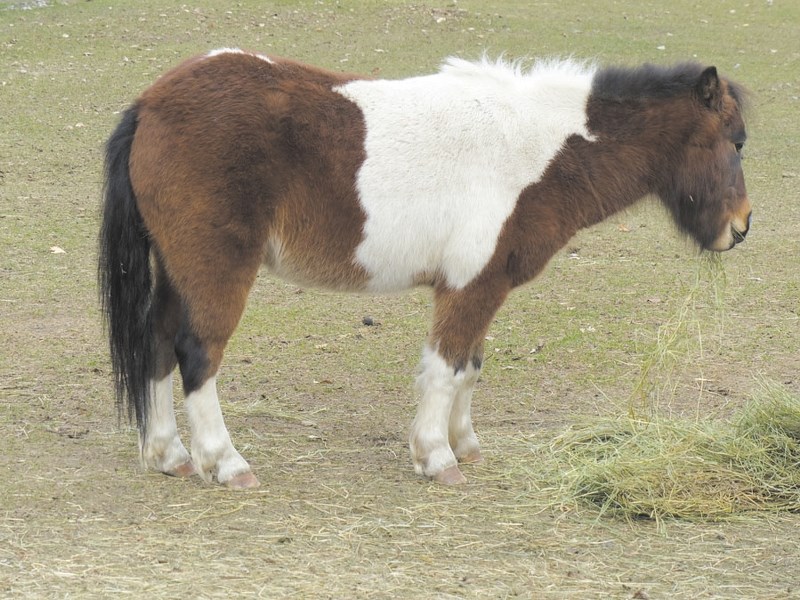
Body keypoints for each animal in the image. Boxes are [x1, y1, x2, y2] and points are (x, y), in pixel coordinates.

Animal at [98, 48, 752, 488]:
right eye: (737, 141)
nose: (741, 227)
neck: (533, 150)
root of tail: (150, 104)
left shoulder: (487, 285)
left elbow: (469, 368)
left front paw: (465, 445)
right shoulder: (468, 286)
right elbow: (444, 369)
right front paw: (436, 457)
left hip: (177, 271)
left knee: (156, 345)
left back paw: (169, 455)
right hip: (216, 270)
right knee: (197, 355)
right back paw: (226, 462)